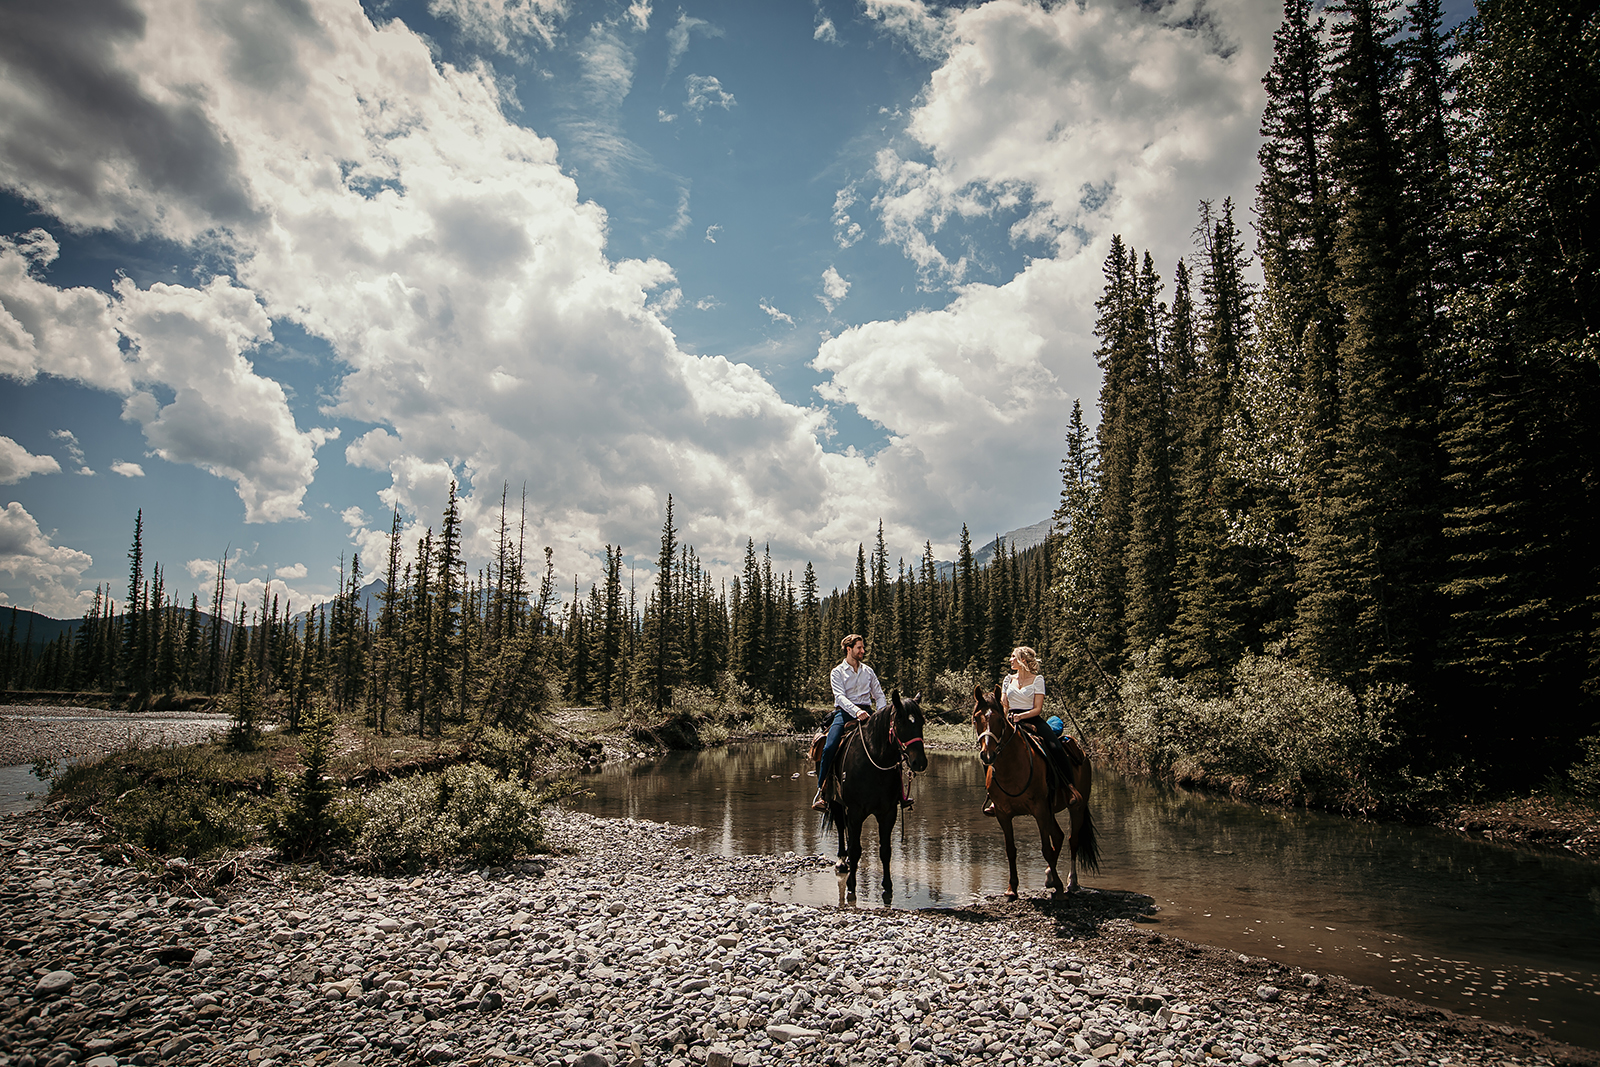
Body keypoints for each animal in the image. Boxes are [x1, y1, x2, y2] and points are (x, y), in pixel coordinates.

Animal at [819, 694, 934, 902]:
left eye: (922, 722)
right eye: (900, 722)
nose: (919, 762)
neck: (874, 762)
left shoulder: (888, 813)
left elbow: (885, 851)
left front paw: (887, 887)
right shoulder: (855, 812)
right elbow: (856, 850)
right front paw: (851, 886)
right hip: (835, 801)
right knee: (840, 827)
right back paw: (842, 861)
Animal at [966, 684, 1094, 902]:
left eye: (1000, 720)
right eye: (976, 719)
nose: (987, 755)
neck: (1012, 767)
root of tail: (1081, 751)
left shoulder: (1040, 810)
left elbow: (1046, 849)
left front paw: (1059, 887)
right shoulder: (1003, 814)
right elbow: (1011, 850)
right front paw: (1012, 889)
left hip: (1076, 807)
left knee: (1072, 840)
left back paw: (1071, 882)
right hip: (1051, 811)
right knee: (1059, 836)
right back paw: (1050, 876)